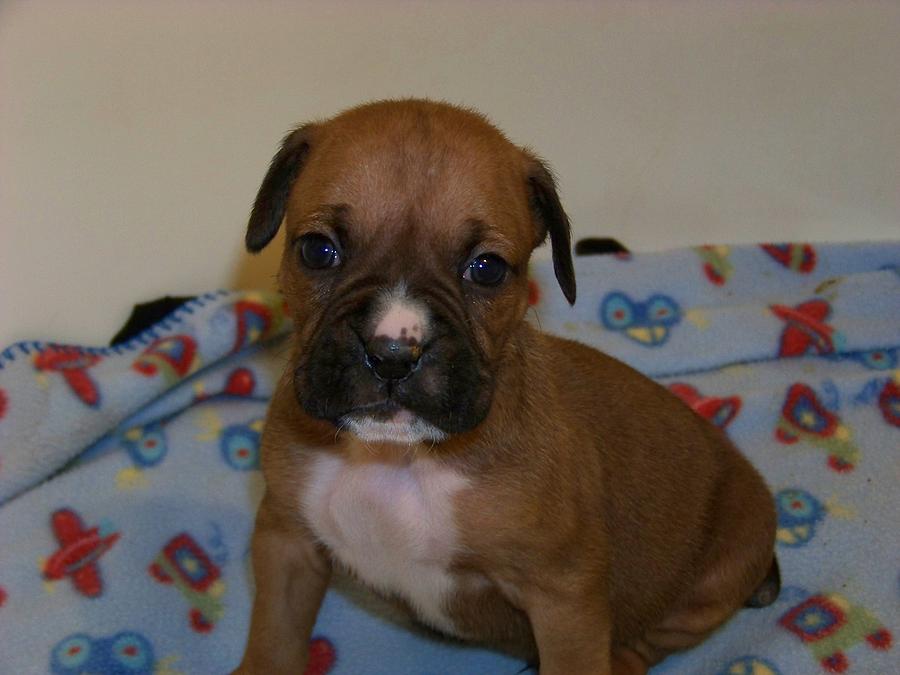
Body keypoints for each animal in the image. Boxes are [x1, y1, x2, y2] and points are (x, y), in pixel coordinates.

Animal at [236, 100, 776, 675]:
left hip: (718, 573)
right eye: (318, 251)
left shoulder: (564, 597)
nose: (393, 353)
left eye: (487, 269)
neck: (398, 456)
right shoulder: (286, 542)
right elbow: (273, 641)